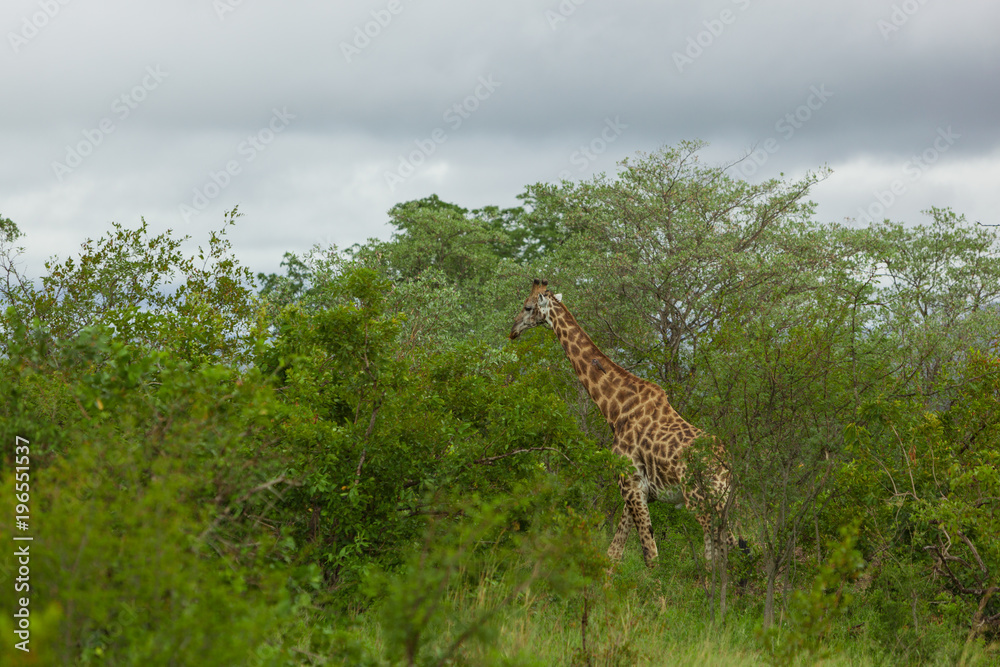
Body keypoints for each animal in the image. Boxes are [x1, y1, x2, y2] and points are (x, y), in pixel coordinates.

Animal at [508, 279, 738, 568]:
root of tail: (725, 464)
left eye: (527, 307)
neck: (614, 409)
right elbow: (613, 555)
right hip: (720, 501)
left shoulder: (630, 483)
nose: (512, 331)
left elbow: (650, 557)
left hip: (701, 500)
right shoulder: (637, 489)